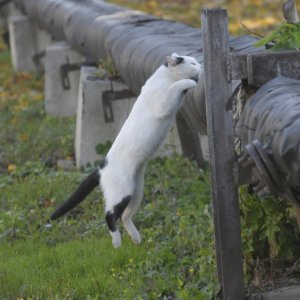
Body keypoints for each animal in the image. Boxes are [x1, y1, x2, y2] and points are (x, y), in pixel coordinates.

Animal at [50, 52, 203, 247]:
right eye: (192, 63)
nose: (201, 67)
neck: (165, 77)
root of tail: (101, 167)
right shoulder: (163, 103)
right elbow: (177, 86)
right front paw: (189, 82)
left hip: (136, 193)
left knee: (124, 216)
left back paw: (136, 239)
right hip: (122, 193)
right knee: (109, 215)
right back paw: (117, 242)